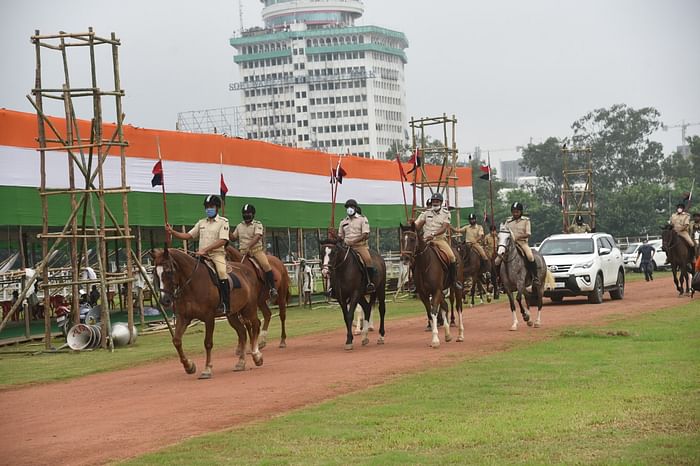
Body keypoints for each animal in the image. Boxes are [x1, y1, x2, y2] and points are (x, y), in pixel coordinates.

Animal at [152, 248, 262, 378]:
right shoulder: (184, 317)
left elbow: (208, 343)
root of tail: (247, 270)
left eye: (168, 272)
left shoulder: (209, 317)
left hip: (249, 309)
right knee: (242, 332)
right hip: (232, 314)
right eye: (155, 273)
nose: (164, 300)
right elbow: (177, 341)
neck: (192, 284)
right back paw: (241, 363)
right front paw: (189, 366)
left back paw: (256, 355)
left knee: (256, 325)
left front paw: (207, 369)